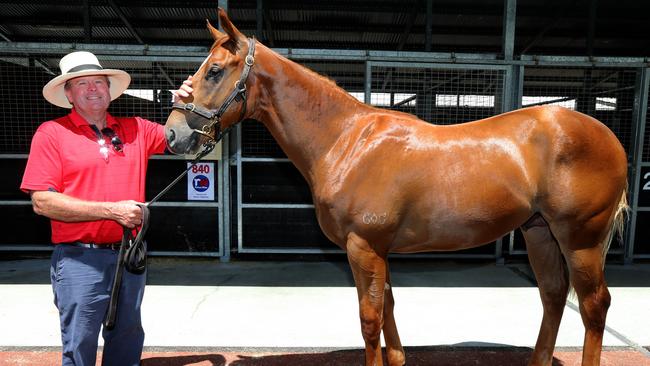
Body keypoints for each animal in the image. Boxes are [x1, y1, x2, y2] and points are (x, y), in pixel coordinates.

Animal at [163, 9, 628, 366]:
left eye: (215, 71)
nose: (172, 135)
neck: (345, 140)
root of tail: (608, 137)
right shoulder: (378, 250)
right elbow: (387, 310)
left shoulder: (363, 247)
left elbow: (370, 321)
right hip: (539, 232)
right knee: (553, 295)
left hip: (580, 239)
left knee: (594, 306)